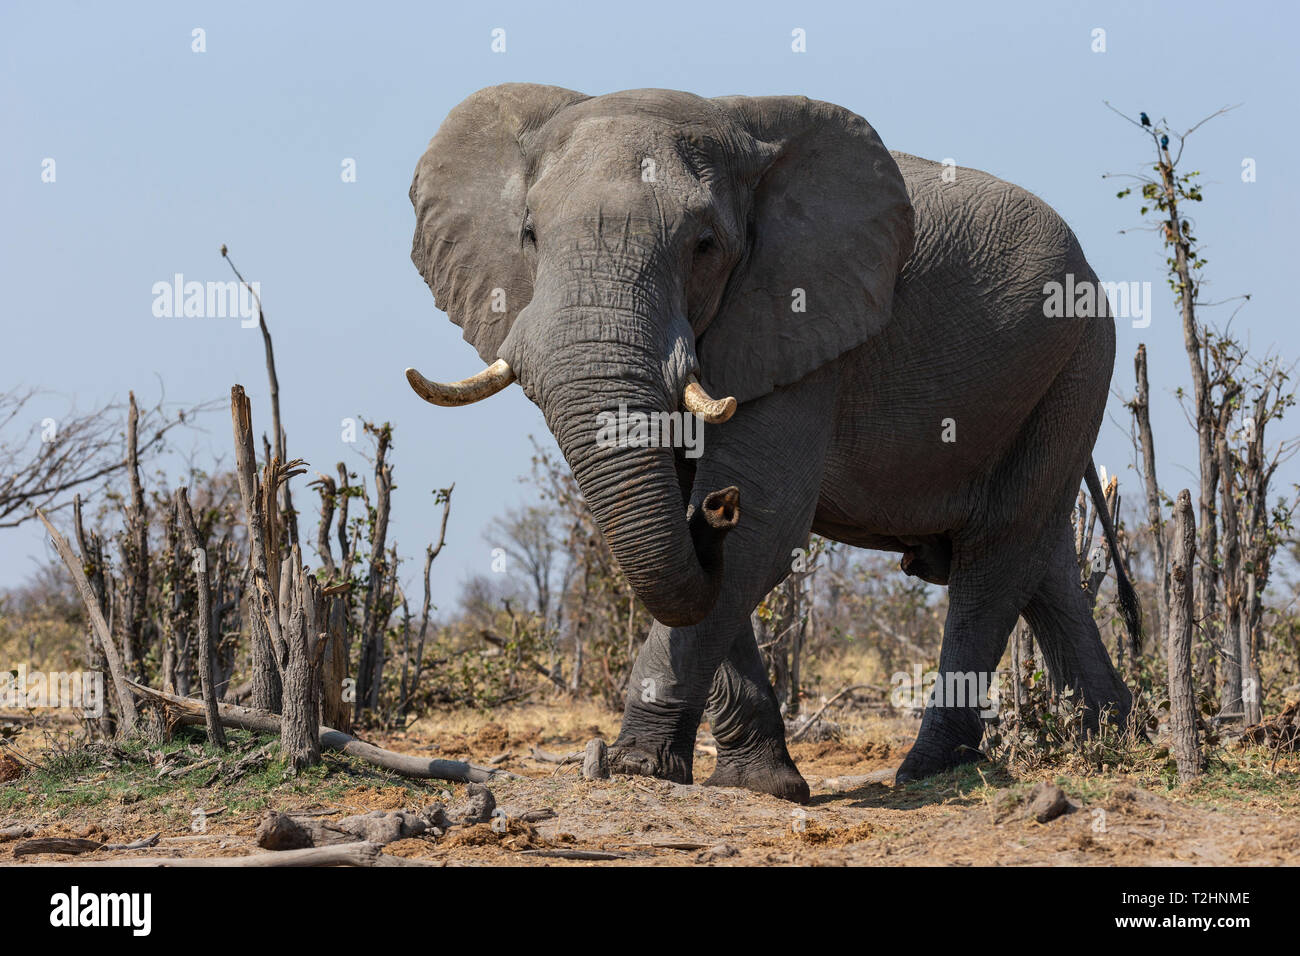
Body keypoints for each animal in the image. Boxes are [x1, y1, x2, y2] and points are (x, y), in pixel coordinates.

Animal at [403, 85, 1138, 801]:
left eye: (705, 245)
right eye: (529, 235)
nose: (715, 508)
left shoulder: (804, 324)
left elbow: (765, 523)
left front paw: (637, 768)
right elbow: (702, 543)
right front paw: (759, 784)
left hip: (1075, 358)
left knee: (997, 554)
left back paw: (931, 772)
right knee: (1042, 563)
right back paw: (1109, 737)